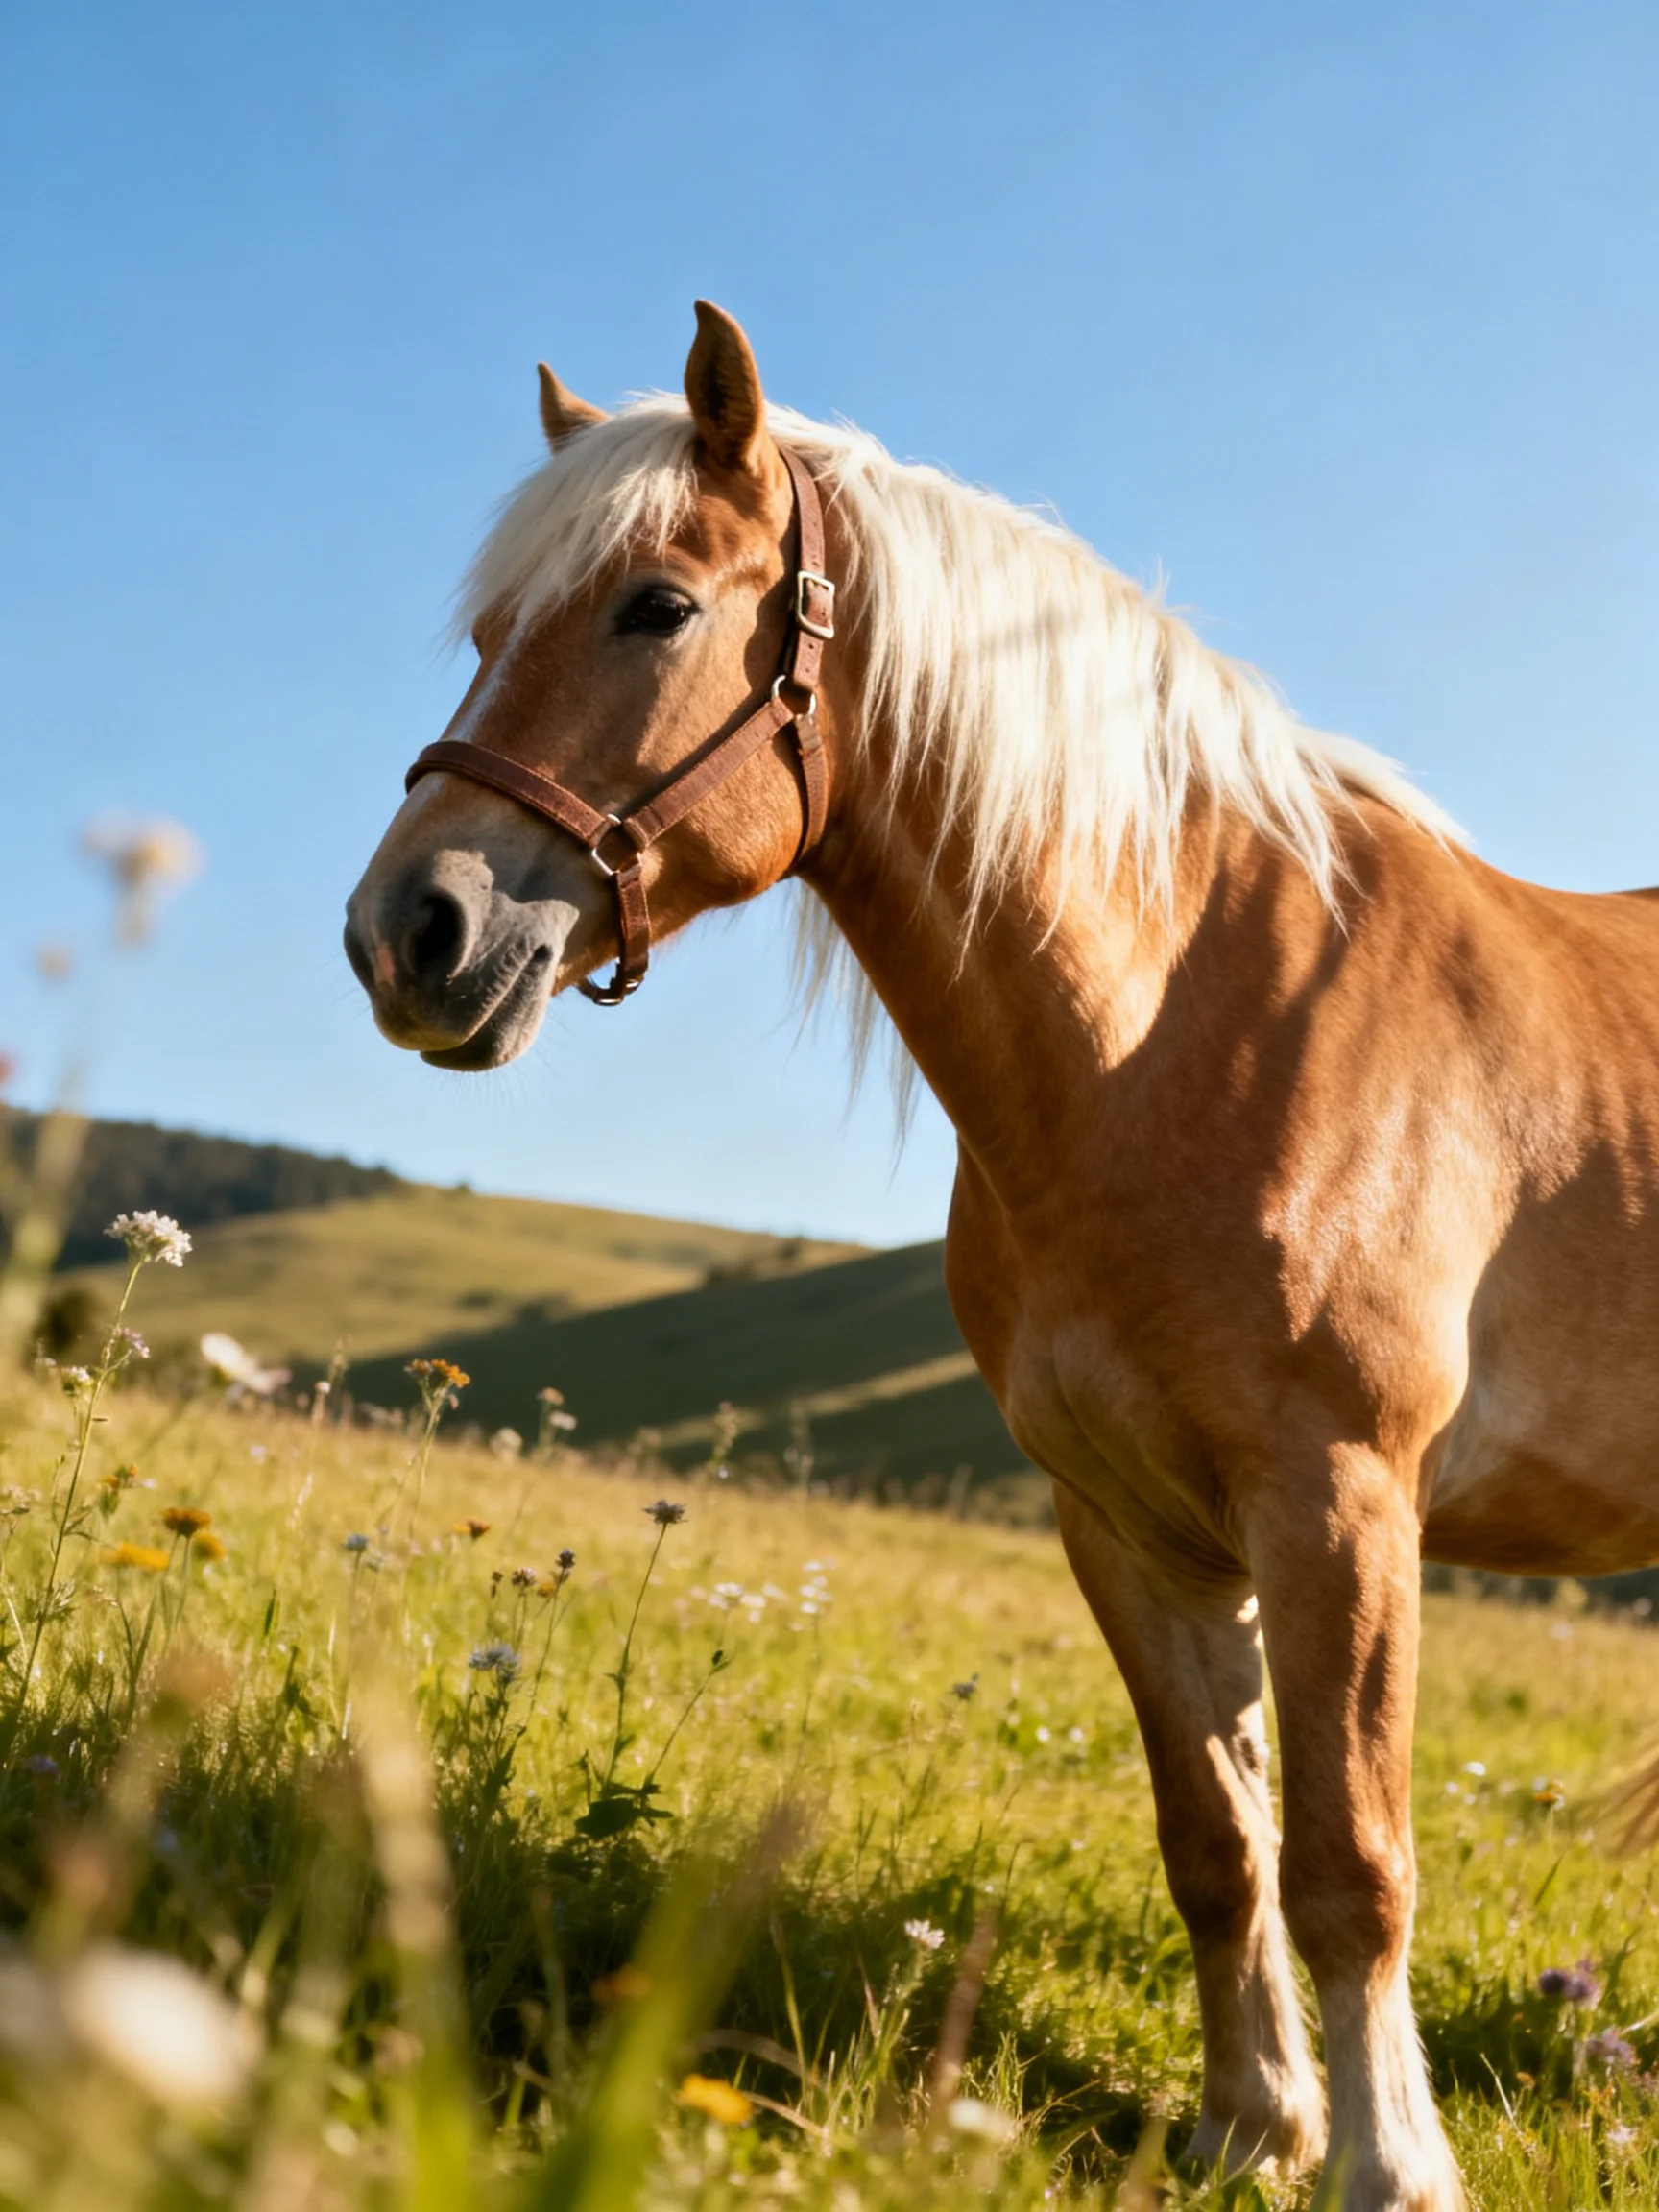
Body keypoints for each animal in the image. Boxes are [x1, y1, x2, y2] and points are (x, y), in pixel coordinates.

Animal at [345, 301, 1659, 2211]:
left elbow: (1350, 1861)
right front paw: (1248, 2127)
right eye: (483, 634)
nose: (408, 933)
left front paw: (1383, 2160)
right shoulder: (1127, 1523)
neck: (1185, 1024)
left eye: (654, 605)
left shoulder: (1340, 1500)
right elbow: (1218, 1842)